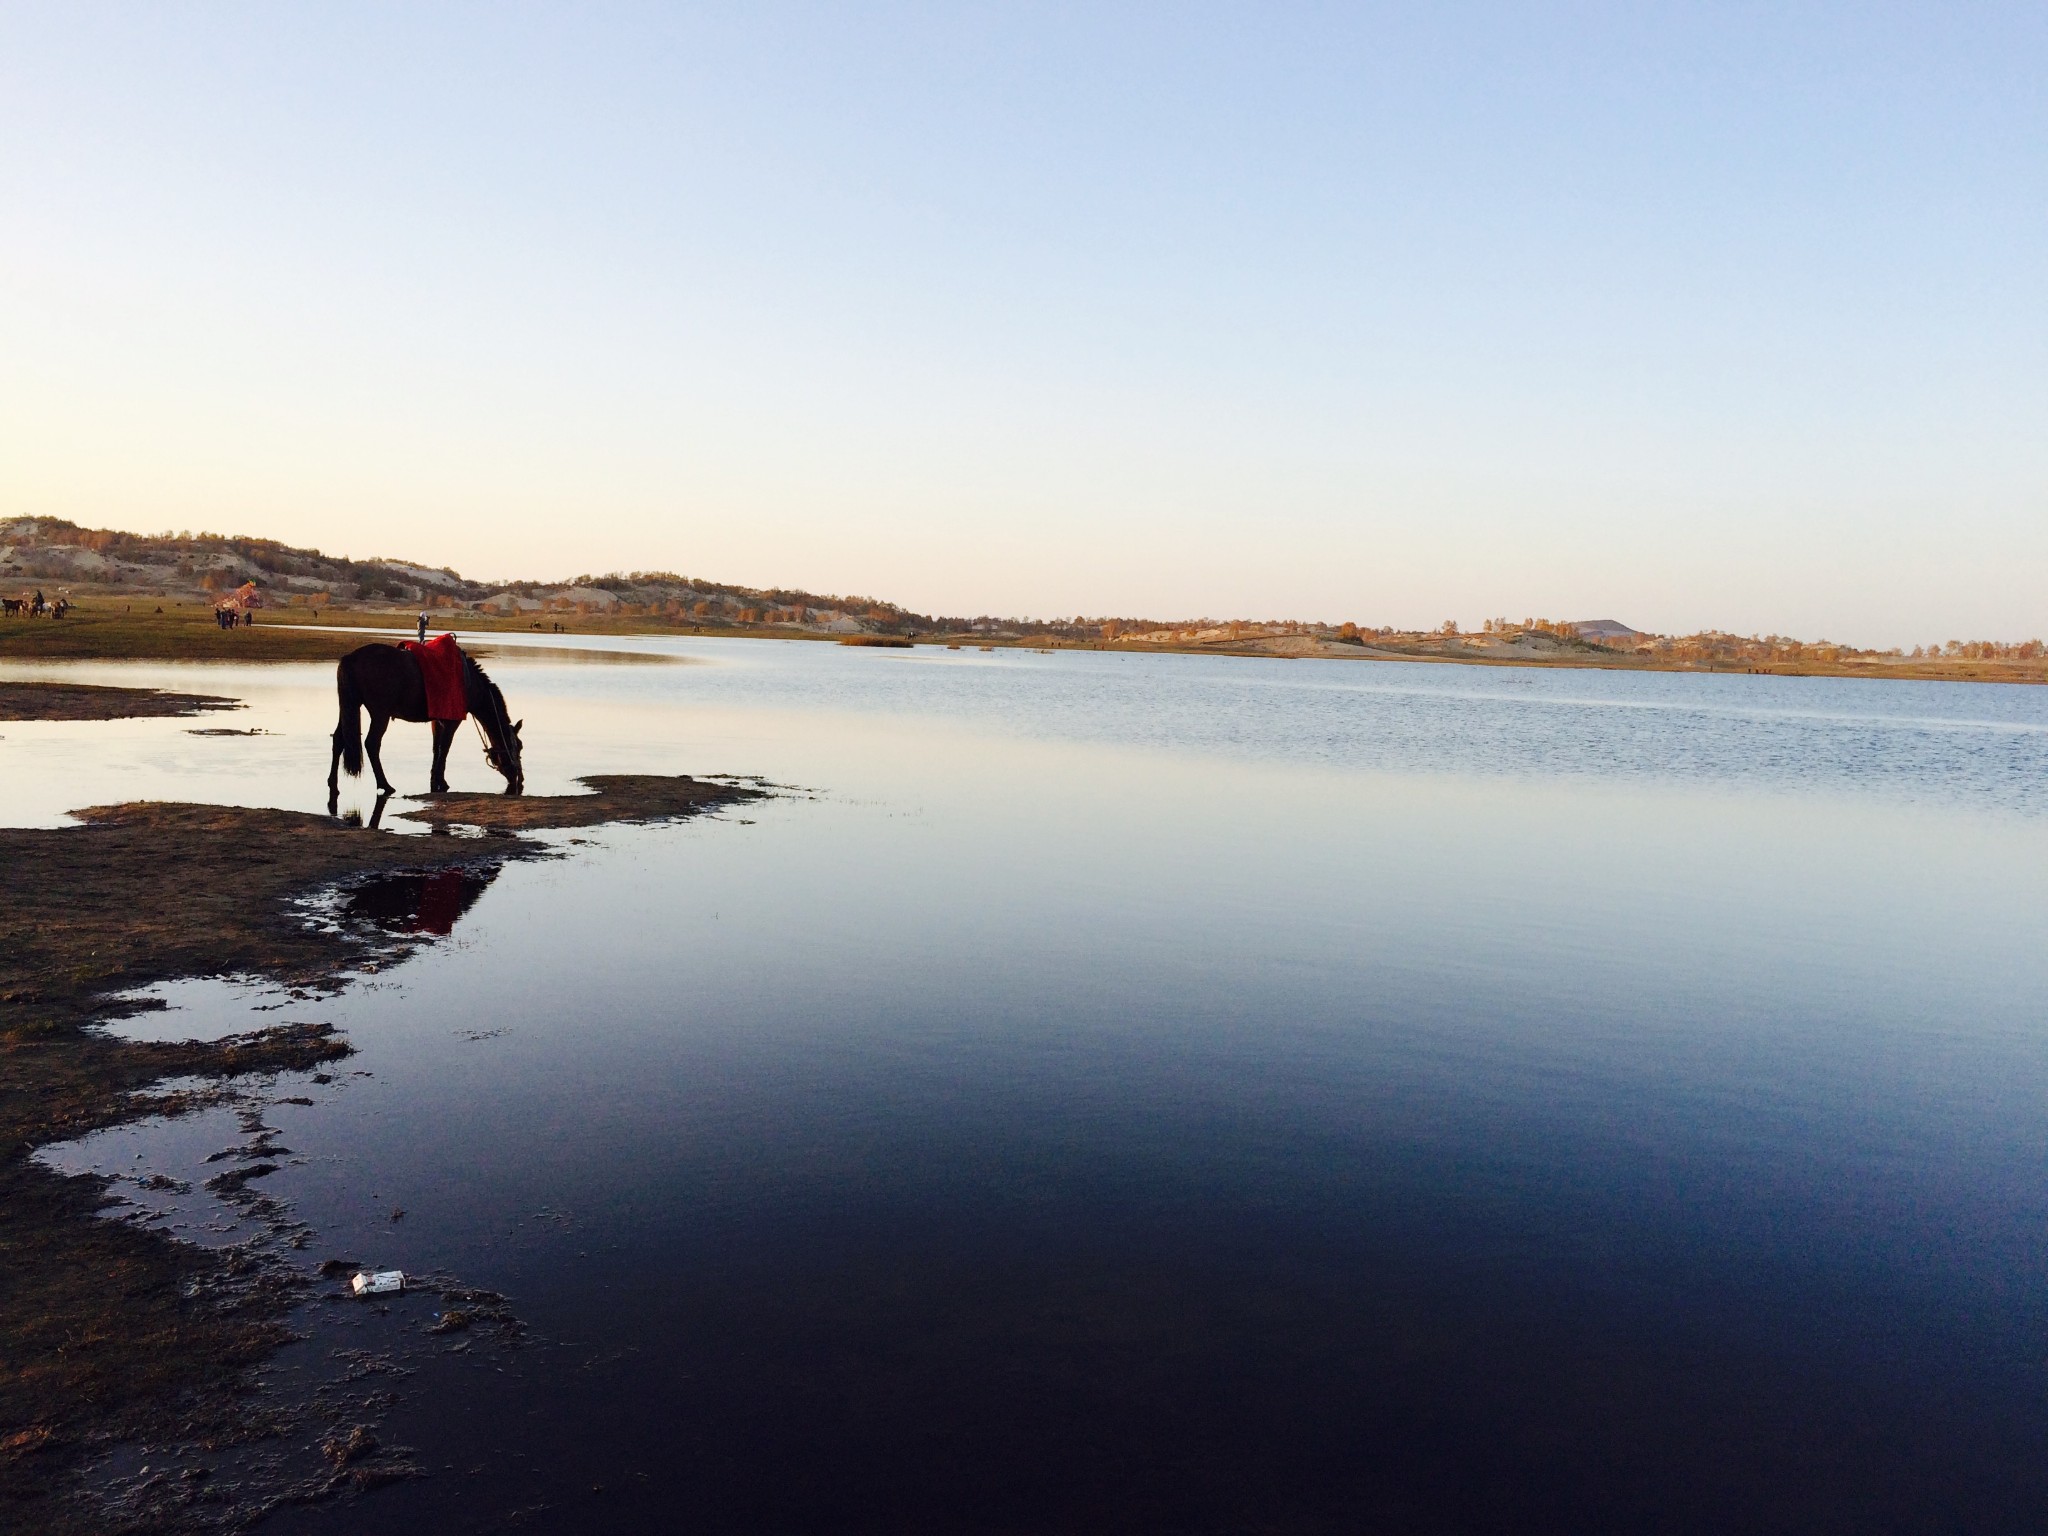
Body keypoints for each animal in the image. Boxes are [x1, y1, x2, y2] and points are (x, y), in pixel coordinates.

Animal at [323, 643, 524, 798]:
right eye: (518, 746)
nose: (518, 778)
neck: (470, 683)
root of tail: (351, 657)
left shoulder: (438, 720)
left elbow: (437, 748)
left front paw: (434, 778)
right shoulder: (452, 721)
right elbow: (445, 748)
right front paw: (441, 781)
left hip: (349, 706)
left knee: (339, 740)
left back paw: (333, 783)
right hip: (380, 714)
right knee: (372, 743)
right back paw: (385, 784)